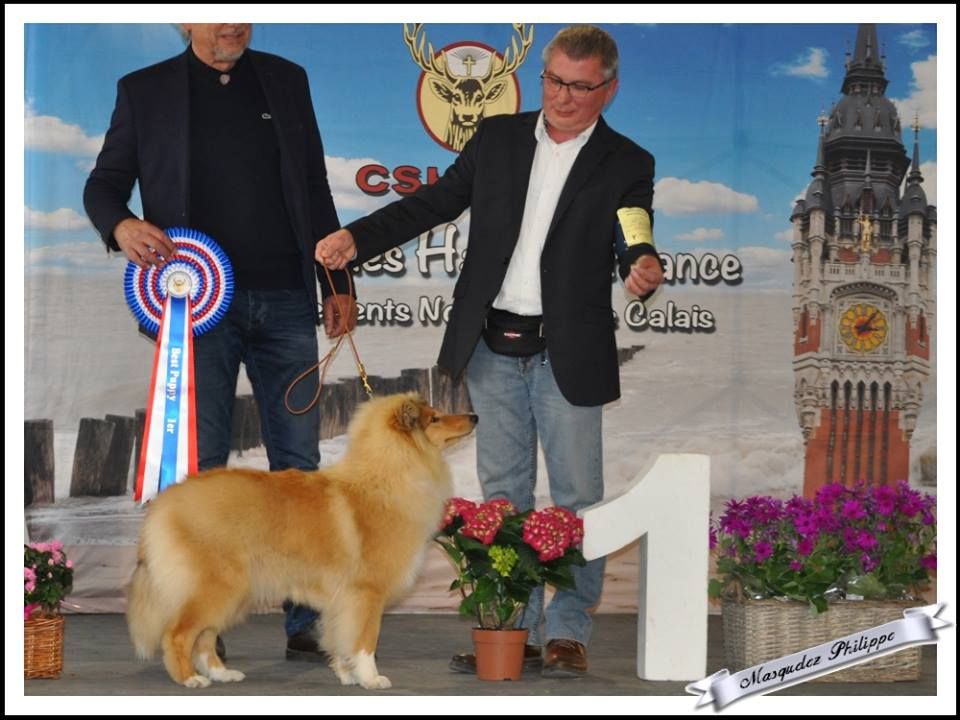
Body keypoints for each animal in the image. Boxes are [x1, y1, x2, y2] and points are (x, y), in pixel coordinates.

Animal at [125, 394, 478, 692]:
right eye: (434, 418)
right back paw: (190, 679)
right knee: (178, 634)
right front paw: (371, 679)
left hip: (230, 590)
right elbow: (365, 639)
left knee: (205, 636)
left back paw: (222, 673)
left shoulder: (342, 599)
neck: (386, 477)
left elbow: (339, 637)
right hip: (216, 585)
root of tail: (166, 500)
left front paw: (347, 674)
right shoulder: (367, 593)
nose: (474, 416)